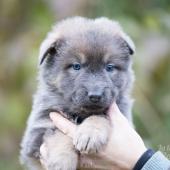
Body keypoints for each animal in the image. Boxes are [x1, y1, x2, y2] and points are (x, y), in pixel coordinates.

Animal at [19, 16, 135, 170]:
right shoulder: (38, 130)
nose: (95, 96)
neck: (80, 113)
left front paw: (90, 134)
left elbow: (100, 116)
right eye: (76, 66)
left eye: (109, 67)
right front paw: (62, 161)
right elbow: (60, 133)